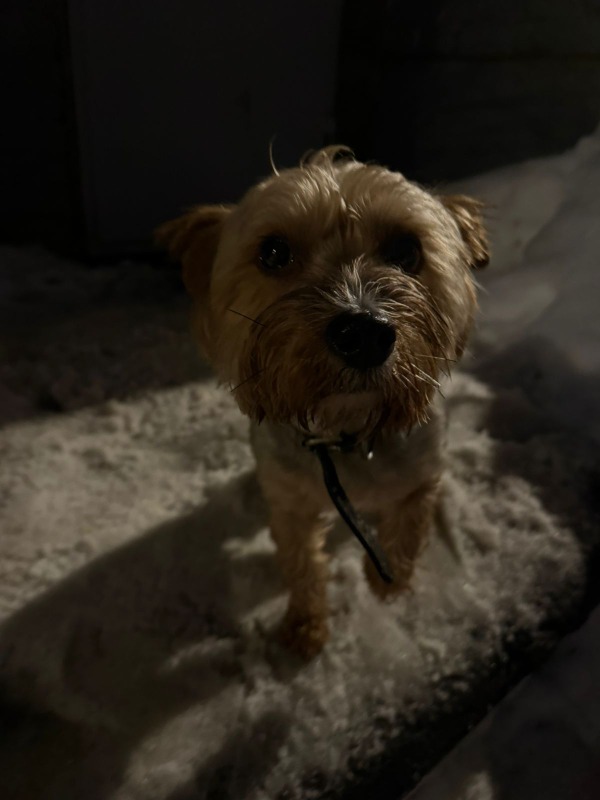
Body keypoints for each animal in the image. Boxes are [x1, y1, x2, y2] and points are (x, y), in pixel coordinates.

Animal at [157, 147, 489, 658]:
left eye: (406, 250)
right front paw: (305, 626)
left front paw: (388, 583)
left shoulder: (420, 474)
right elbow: (301, 562)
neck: (347, 431)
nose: (364, 333)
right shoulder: (291, 503)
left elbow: (409, 527)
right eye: (273, 251)